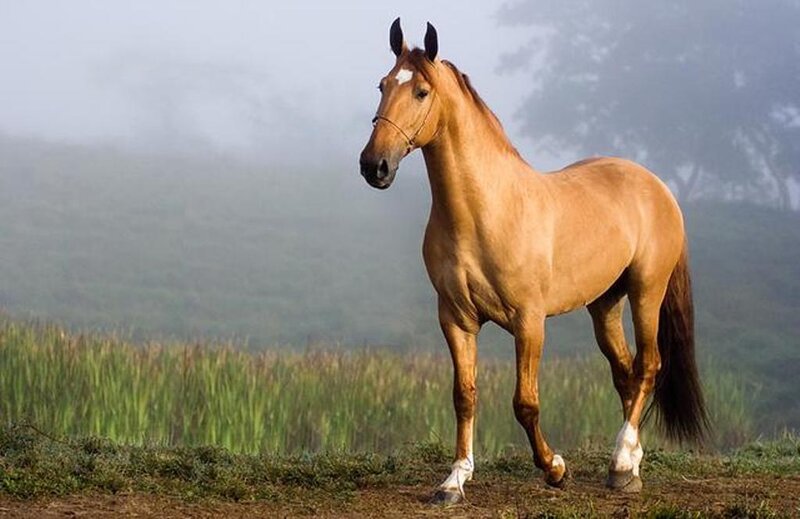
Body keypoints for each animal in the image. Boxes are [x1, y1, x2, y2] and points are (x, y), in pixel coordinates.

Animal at [359, 18, 708, 504]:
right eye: (383, 85)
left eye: (421, 92)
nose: (374, 165)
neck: (487, 211)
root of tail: (656, 186)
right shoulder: (456, 319)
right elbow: (464, 395)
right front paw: (454, 481)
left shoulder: (529, 321)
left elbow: (525, 403)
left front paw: (555, 468)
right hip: (605, 305)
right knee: (625, 374)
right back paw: (630, 465)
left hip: (646, 294)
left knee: (648, 368)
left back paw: (621, 463)